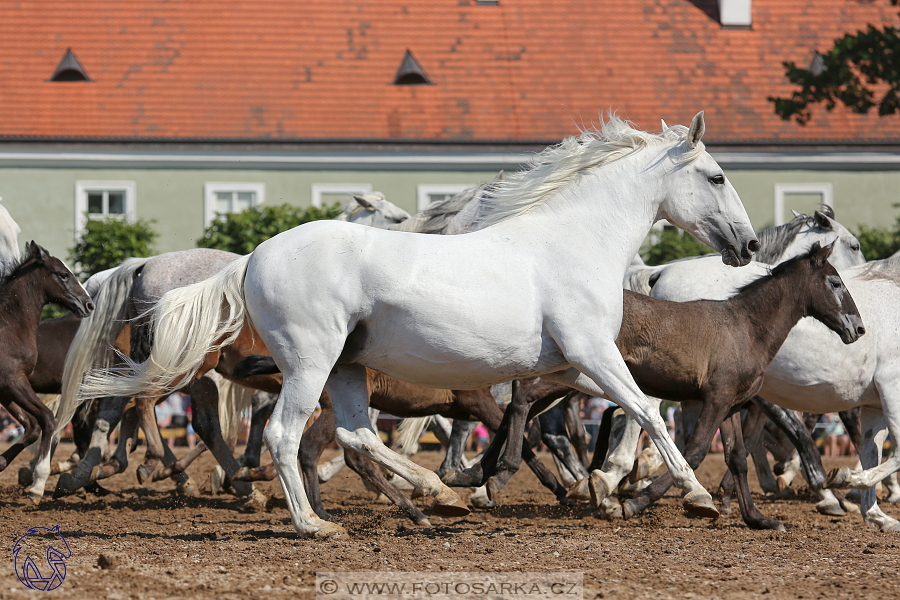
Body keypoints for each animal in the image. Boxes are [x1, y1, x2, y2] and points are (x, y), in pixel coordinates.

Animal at [0, 241, 93, 476]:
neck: (9, 326)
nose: (89, 304)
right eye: (63, 274)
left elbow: (33, 426)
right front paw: (39, 477)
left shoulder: (5, 389)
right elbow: (47, 419)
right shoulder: (13, 380)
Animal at [82, 112, 760, 540]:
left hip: (348, 365)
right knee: (282, 433)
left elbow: (627, 414)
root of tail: (253, 257)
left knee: (356, 434)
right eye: (717, 176)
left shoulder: (572, 367)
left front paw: (613, 483)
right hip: (311, 362)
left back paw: (439, 495)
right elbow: (645, 410)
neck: (571, 243)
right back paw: (313, 522)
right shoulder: (592, 351)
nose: (750, 244)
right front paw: (693, 496)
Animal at [446, 244, 860, 528]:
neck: (745, 327)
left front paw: (758, 518)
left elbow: (737, 458)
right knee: (522, 400)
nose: (858, 328)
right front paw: (644, 500)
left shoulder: (731, 404)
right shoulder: (715, 398)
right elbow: (694, 450)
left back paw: (482, 474)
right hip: (582, 376)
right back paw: (499, 473)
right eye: (835, 281)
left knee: (522, 403)